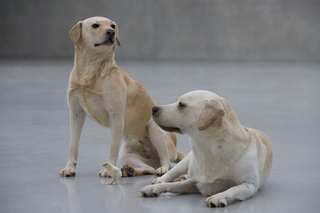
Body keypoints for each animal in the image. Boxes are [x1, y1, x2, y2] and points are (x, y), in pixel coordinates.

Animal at [60, 16, 185, 177]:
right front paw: (70, 168)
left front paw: (109, 169)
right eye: (95, 25)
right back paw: (130, 171)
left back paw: (161, 169)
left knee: (166, 162)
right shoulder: (76, 114)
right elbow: (73, 144)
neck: (90, 71)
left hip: (154, 127)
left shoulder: (116, 116)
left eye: (112, 25)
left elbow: (113, 146)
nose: (111, 32)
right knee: (149, 169)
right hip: (126, 155)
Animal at [140, 90, 272, 207]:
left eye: (181, 104)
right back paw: (161, 179)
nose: (154, 108)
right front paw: (154, 188)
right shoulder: (195, 183)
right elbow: (173, 186)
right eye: (176, 101)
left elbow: (233, 189)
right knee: (172, 172)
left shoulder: (250, 185)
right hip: (187, 160)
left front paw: (218, 197)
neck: (209, 150)